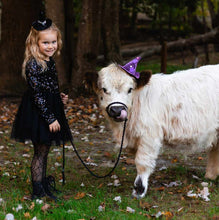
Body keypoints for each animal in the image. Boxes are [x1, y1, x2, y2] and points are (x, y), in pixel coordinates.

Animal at [85, 61, 219, 199]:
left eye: (130, 89)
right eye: (104, 89)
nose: (117, 110)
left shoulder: (149, 136)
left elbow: (142, 162)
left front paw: (139, 190)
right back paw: (210, 176)